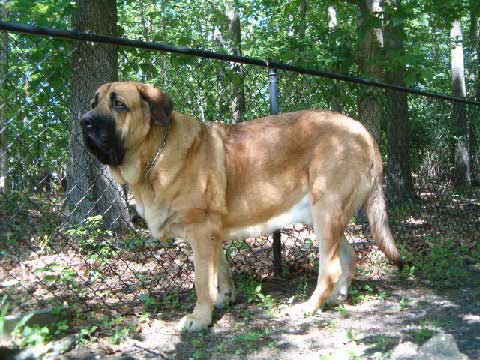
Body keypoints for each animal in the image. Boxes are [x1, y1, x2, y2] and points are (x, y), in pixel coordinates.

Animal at [80, 81, 404, 332]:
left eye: (119, 104)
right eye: (93, 102)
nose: (84, 121)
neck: (154, 155)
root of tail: (362, 131)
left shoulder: (200, 231)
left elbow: (202, 282)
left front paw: (199, 318)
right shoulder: (212, 233)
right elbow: (221, 270)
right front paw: (225, 299)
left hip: (326, 211)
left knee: (331, 267)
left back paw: (310, 306)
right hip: (324, 217)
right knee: (348, 258)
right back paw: (337, 298)